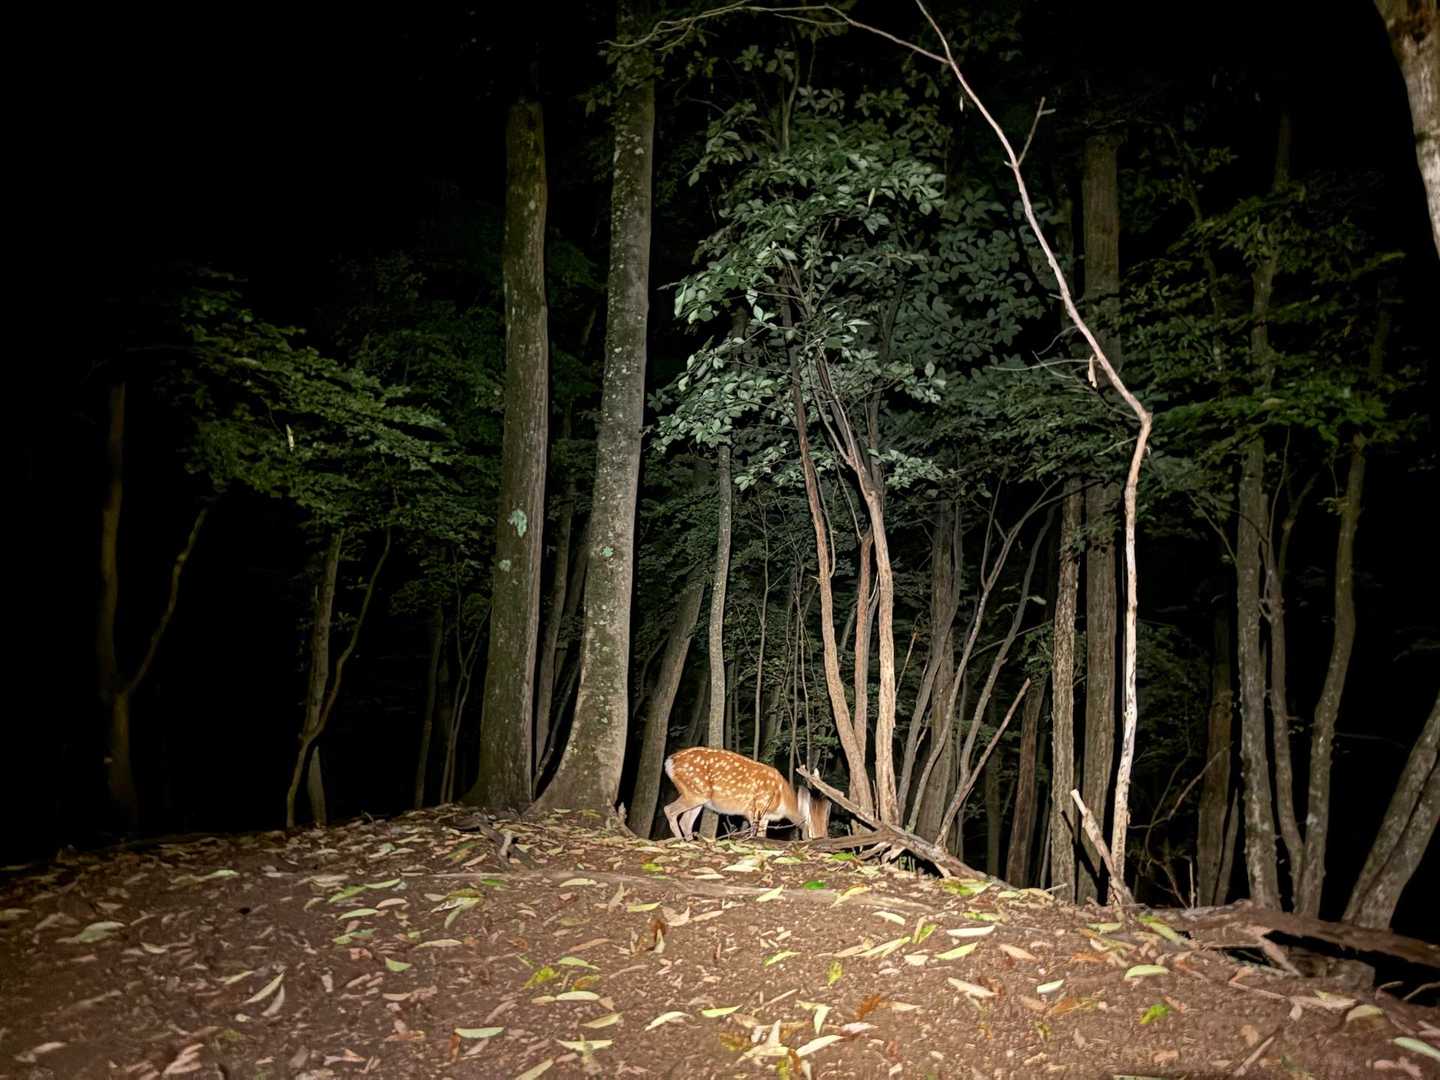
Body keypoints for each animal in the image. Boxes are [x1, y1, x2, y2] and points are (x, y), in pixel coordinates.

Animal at [663, 747, 831, 842]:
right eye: (815, 832)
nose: (825, 838)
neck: (784, 801)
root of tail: (669, 762)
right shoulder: (756, 807)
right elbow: (754, 834)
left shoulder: (765, 816)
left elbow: (762, 836)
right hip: (695, 791)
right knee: (669, 809)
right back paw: (679, 841)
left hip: (699, 797)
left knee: (685, 820)